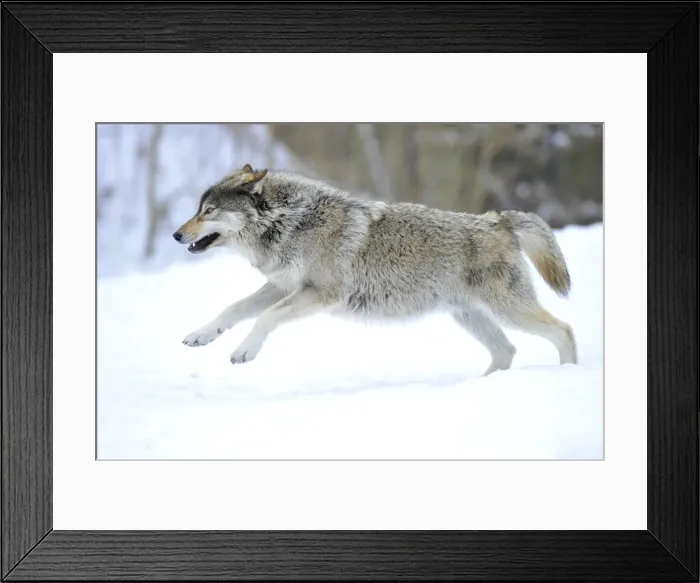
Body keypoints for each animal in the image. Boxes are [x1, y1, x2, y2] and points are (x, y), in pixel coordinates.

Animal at [173, 164, 577, 375]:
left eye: (208, 211)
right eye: (198, 210)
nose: (176, 235)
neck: (291, 223)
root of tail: (499, 219)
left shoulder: (320, 294)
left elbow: (265, 318)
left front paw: (245, 351)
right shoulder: (281, 286)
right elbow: (234, 308)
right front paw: (201, 335)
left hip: (508, 311)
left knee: (564, 330)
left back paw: (568, 374)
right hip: (470, 317)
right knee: (506, 351)